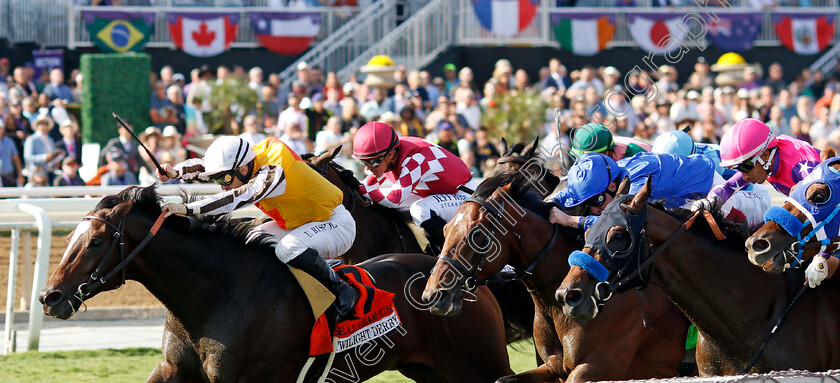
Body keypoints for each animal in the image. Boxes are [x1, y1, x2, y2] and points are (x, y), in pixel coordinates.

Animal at [39, 185, 512, 380]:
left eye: (95, 240)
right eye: (72, 237)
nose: (50, 296)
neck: (216, 297)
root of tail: (460, 279)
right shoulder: (175, 369)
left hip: (478, 364)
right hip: (428, 369)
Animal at [420, 172, 688, 382]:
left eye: (476, 234)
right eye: (445, 229)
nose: (433, 295)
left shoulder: (597, 368)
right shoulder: (553, 367)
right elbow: (503, 379)